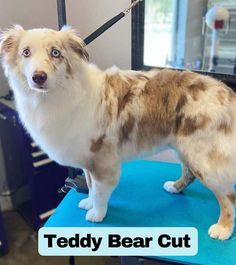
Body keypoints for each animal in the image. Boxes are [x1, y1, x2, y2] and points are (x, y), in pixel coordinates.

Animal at [0, 25, 235, 239]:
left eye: (55, 53)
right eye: (26, 52)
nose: (38, 77)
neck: (59, 93)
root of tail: (226, 92)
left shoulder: (103, 161)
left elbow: (100, 192)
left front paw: (97, 214)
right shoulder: (88, 159)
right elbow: (91, 187)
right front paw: (88, 203)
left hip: (202, 155)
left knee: (228, 195)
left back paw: (223, 229)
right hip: (184, 147)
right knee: (189, 173)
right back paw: (175, 187)